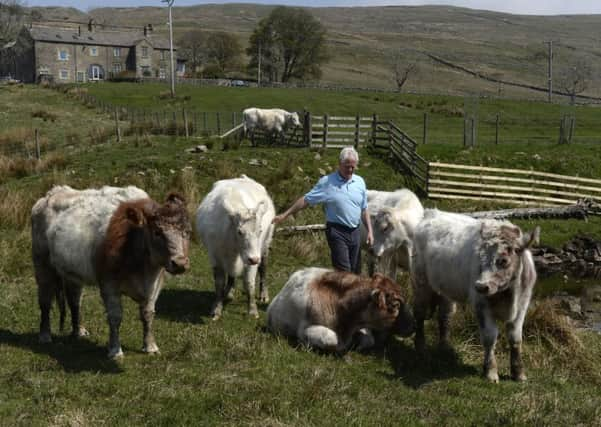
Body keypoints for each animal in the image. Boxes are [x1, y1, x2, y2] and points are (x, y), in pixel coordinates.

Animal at [31, 186, 190, 360]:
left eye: (187, 231)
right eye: (157, 232)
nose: (180, 263)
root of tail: (53, 192)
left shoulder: (154, 286)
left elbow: (148, 314)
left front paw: (150, 346)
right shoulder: (108, 284)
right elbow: (115, 317)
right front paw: (115, 350)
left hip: (73, 273)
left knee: (75, 300)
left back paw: (79, 331)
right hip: (42, 265)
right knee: (45, 301)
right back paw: (45, 335)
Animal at [195, 175, 274, 320]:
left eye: (260, 230)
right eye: (240, 231)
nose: (254, 259)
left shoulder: (252, 258)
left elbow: (249, 283)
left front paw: (252, 310)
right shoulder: (215, 256)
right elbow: (219, 283)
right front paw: (217, 308)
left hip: (266, 244)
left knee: (263, 268)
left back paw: (263, 294)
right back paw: (229, 292)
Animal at [410, 209, 536, 382]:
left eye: (504, 260)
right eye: (480, 259)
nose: (481, 286)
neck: (509, 294)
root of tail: (431, 213)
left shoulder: (522, 306)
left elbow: (515, 339)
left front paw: (519, 373)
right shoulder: (480, 305)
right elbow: (490, 337)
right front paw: (490, 371)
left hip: (445, 289)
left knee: (444, 316)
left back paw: (444, 347)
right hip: (420, 284)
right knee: (420, 314)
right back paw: (421, 346)